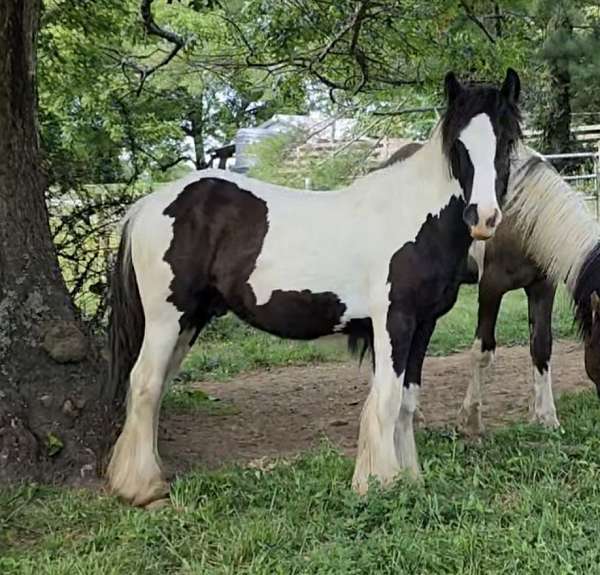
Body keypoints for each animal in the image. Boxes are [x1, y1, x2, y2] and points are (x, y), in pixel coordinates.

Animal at [106, 70, 520, 506]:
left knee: (157, 387)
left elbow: (406, 402)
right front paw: (381, 483)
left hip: (191, 320)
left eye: (507, 140)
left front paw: (410, 478)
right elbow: (386, 400)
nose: (483, 217)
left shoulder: (423, 325)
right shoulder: (394, 322)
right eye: (458, 145)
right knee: (145, 383)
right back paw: (142, 487)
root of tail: (148, 205)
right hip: (167, 318)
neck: (416, 219)